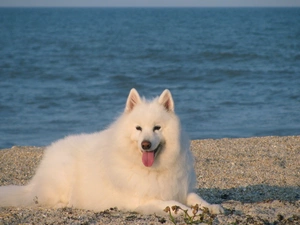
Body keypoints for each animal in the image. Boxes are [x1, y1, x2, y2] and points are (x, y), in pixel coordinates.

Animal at [0, 87, 223, 214]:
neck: (152, 169)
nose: (145, 144)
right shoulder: (144, 199)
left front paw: (212, 207)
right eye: (138, 128)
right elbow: (174, 205)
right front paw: (192, 213)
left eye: (157, 128)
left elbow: (196, 198)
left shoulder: (179, 188)